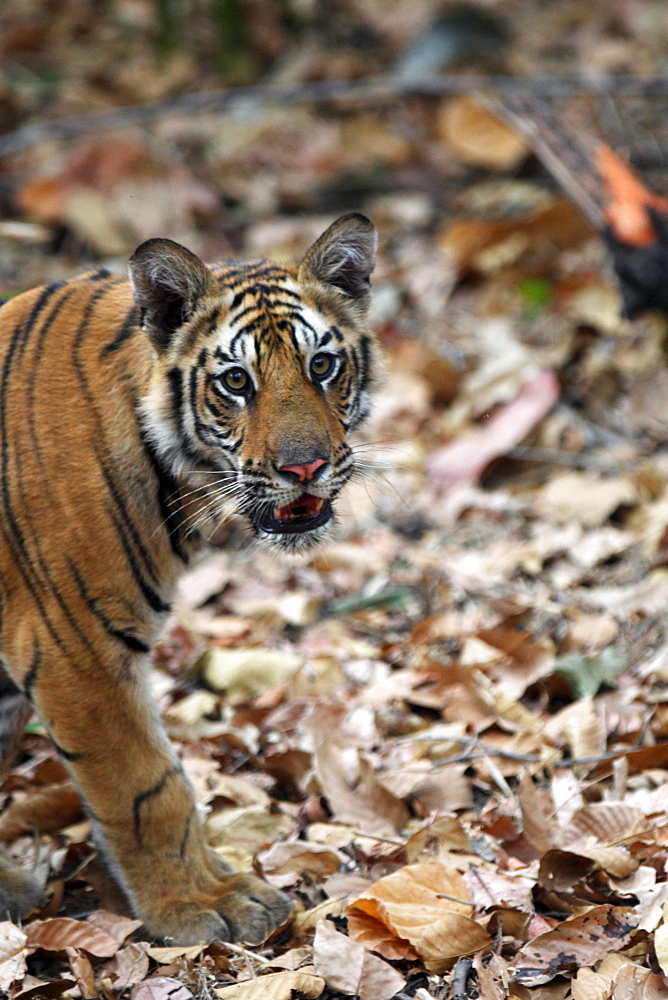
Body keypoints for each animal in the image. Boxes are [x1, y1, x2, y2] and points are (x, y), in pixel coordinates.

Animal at [0, 213, 378, 944]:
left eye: (321, 365)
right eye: (235, 381)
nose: (305, 468)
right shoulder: (75, 648)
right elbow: (148, 788)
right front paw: (200, 905)